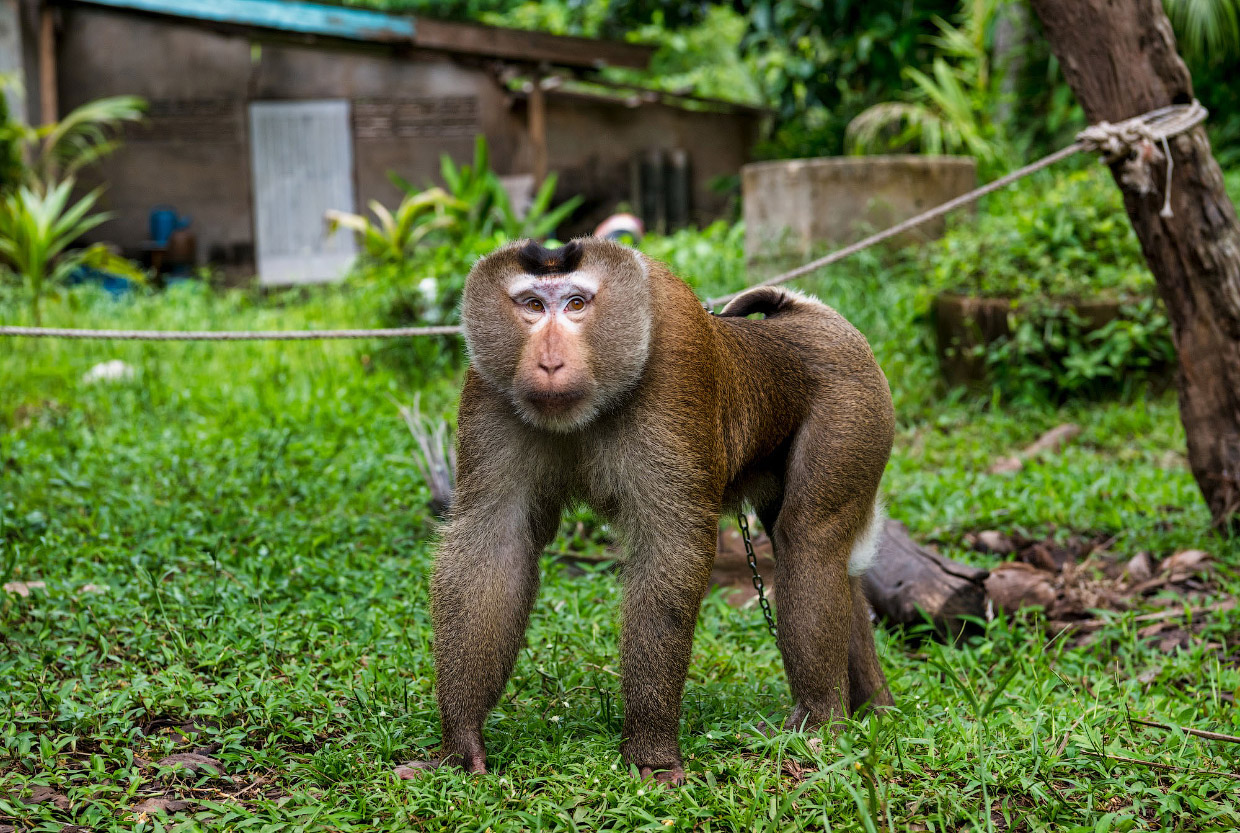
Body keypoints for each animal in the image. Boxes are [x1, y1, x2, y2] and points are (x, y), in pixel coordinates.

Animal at [401, 238, 897, 783]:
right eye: (532, 305)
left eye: (576, 304)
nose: (549, 362)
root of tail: (812, 315)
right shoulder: (489, 388)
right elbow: (494, 544)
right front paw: (459, 744)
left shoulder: (673, 369)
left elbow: (671, 547)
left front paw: (651, 752)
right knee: (830, 559)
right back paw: (873, 707)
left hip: (853, 409)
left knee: (809, 538)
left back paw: (820, 721)